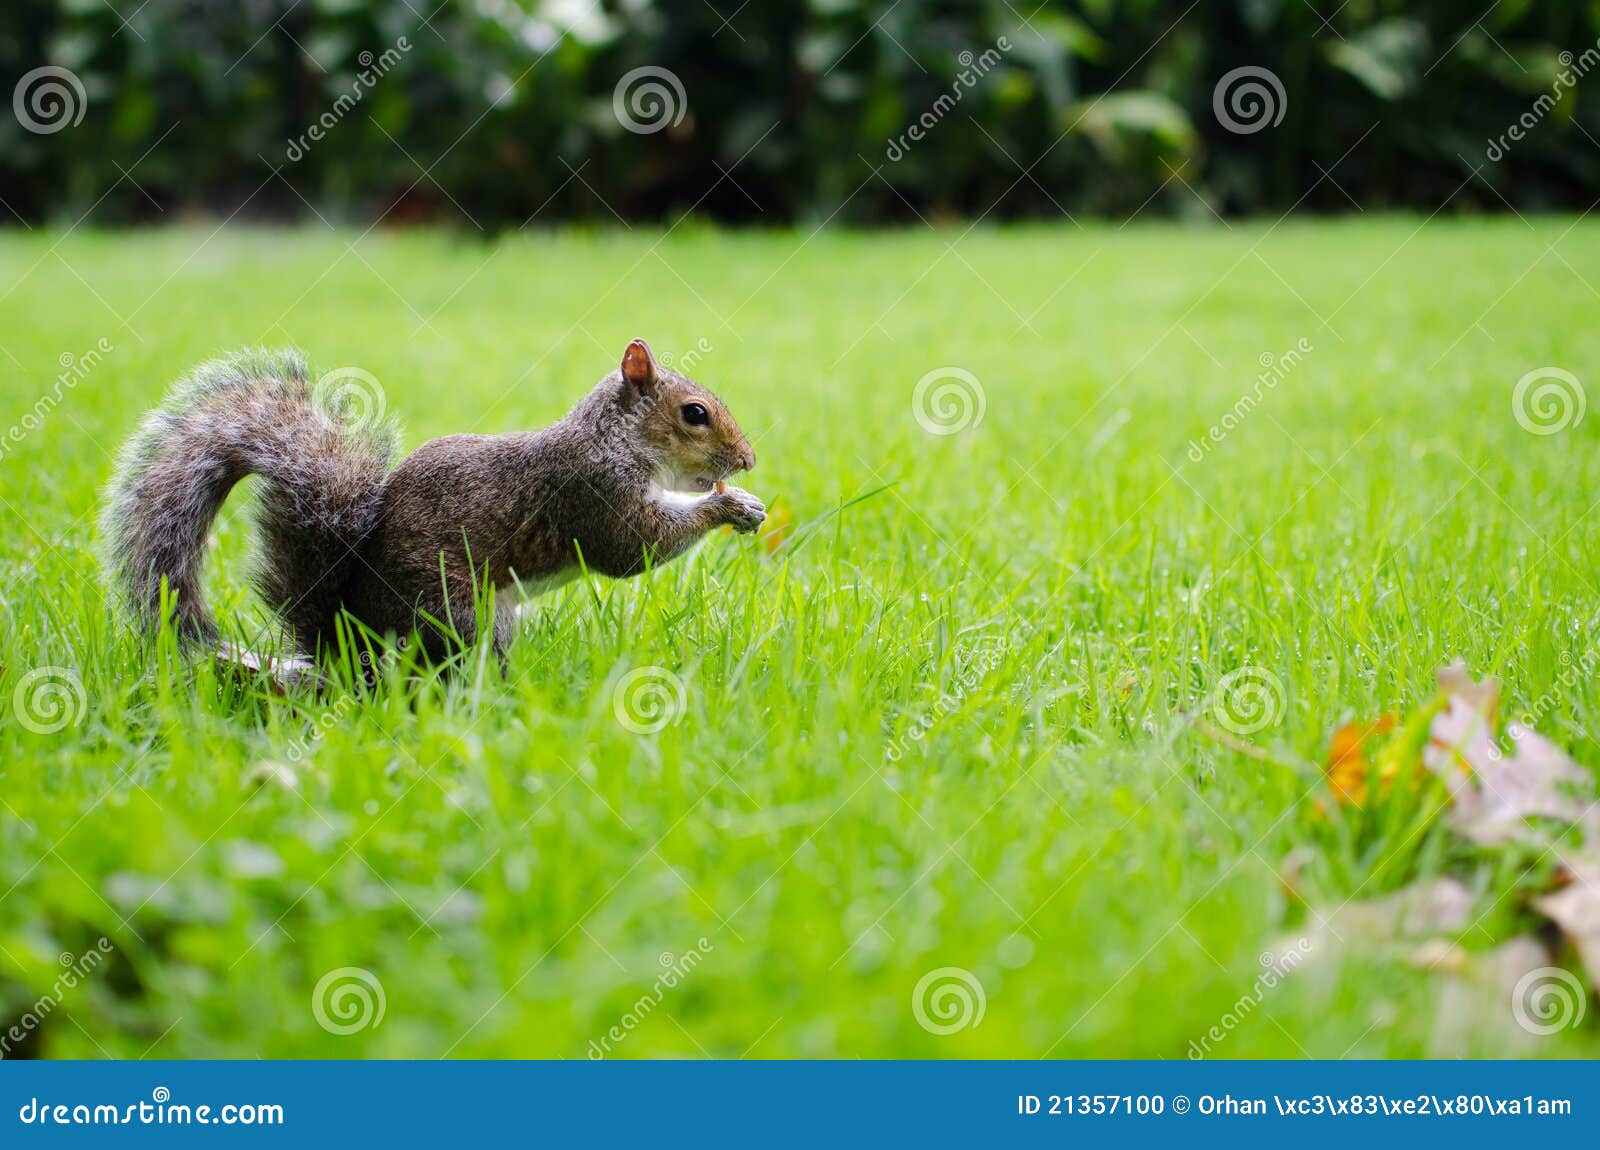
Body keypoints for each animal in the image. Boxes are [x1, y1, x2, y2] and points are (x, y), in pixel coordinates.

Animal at [101, 339, 765, 666]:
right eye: (695, 414)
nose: (748, 460)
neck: (613, 439)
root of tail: (350, 642)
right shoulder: (591, 493)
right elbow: (634, 549)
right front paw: (727, 508)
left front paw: (746, 502)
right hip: (455, 607)